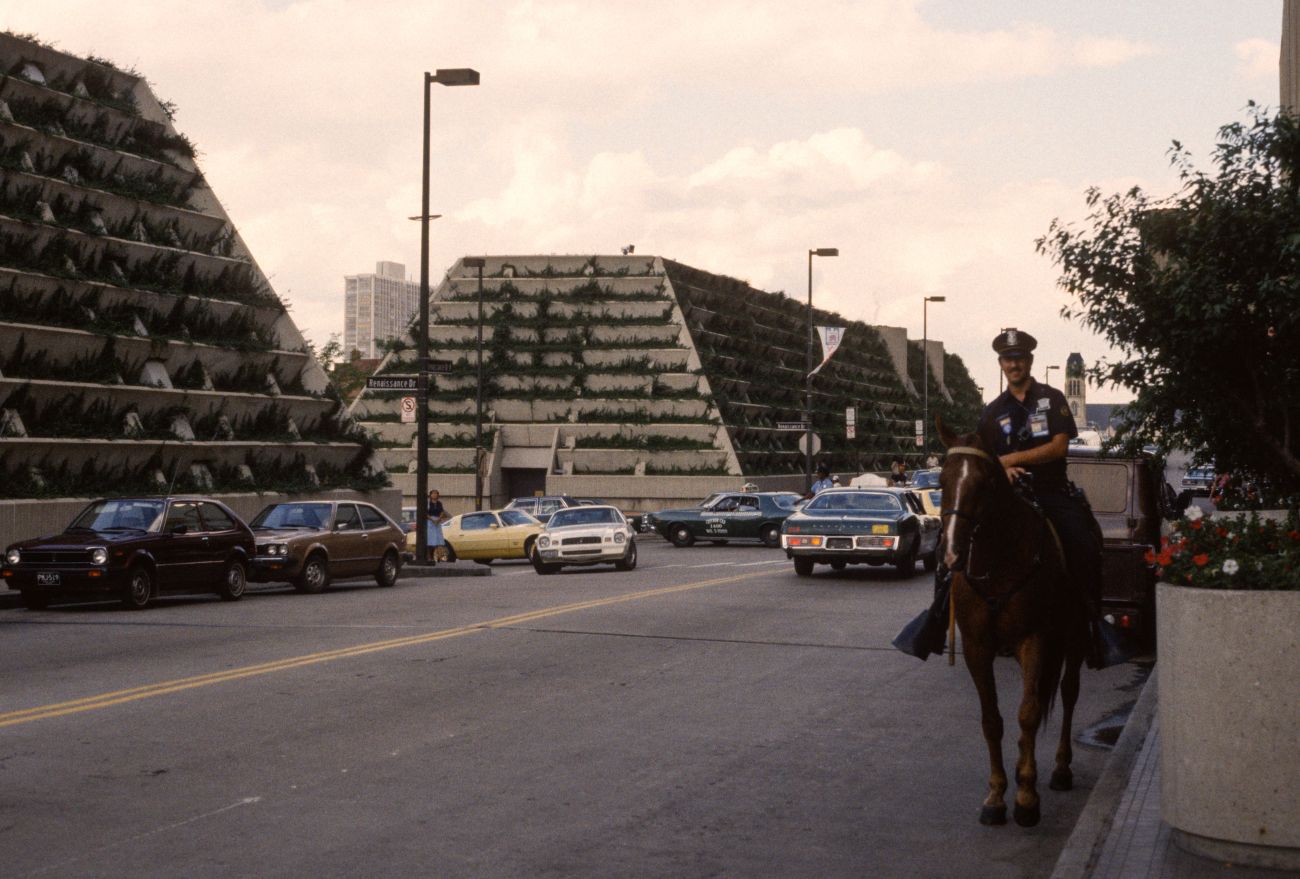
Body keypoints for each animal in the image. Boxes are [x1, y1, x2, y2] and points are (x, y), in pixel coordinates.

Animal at [935, 418, 1086, 821]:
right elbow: (993, 720)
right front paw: (997, 794)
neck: (997, 559)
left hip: (1075, 634)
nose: (951, 552)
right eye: (941, 481)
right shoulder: (977, 648)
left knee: (1068, 692)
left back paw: (1061, 768)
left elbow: (1028, 714)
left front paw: (1026, 798)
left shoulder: (1034, 640)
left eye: (985, 482)